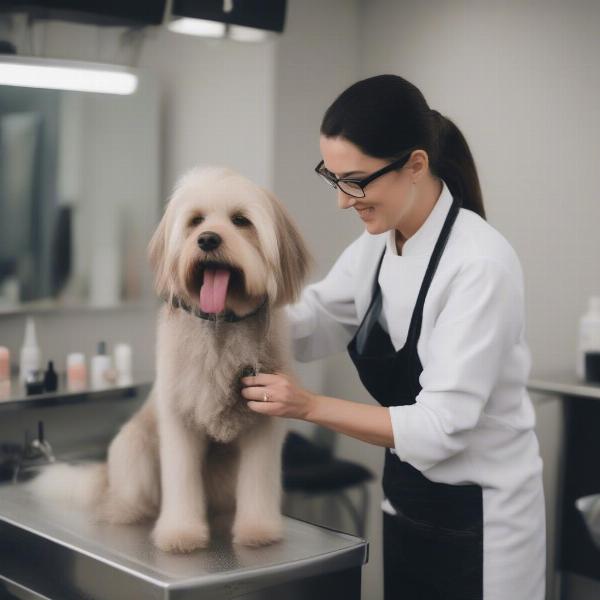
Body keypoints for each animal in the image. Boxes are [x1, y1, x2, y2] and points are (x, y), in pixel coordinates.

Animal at [28, 168, 312, 552]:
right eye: (196, 221)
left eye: (241, 220)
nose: (207, 240)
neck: (221, 327)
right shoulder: (180, 421)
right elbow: (181, 481)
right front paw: (181, 533)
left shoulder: (262, 424)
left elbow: (259, 481)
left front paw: (258, 530)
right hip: (135, 448)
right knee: (126, 499)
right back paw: (126, 510)